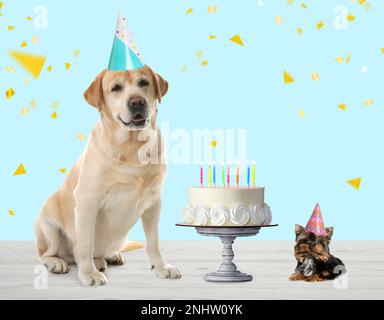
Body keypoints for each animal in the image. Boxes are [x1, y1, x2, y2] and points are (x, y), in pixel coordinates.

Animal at [35, 65, 182, 284]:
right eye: (116, 88)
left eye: (144, 83)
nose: (137, 101)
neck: (131, 148)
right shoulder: (87, 201)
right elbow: (85, 244)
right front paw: (89, 274)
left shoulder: (154, 203)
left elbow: (154, 242)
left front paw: (161, 267)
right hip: (49, 224)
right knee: (48, 254)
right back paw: (59, 263)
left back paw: (108, 258)